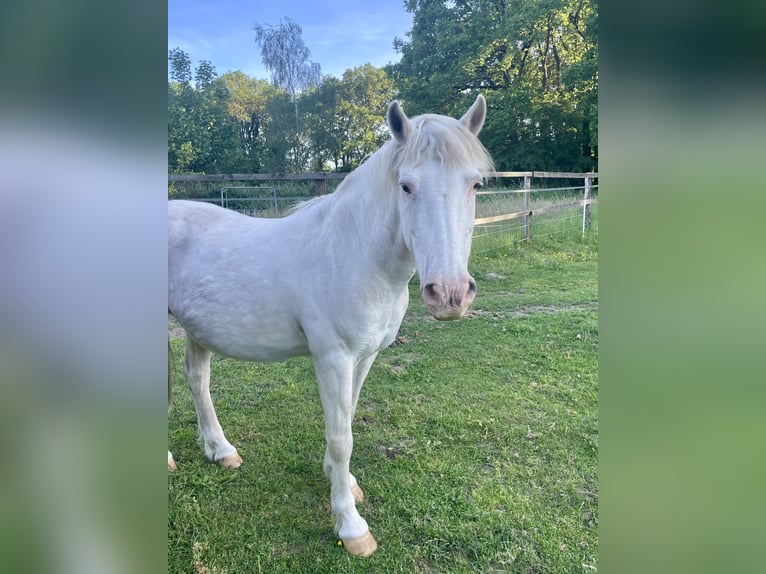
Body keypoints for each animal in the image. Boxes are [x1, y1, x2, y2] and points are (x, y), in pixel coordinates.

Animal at [167, 95, 492, 556]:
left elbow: (348, 420)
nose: (449, 294)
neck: (354, 252)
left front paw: (344, 482)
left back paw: (220, 450)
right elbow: (342, 437)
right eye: (406, 186)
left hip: (198, 330)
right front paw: (351, 526)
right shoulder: (333, 359)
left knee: (197, 380)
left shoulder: (365, 356)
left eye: (475, 184)